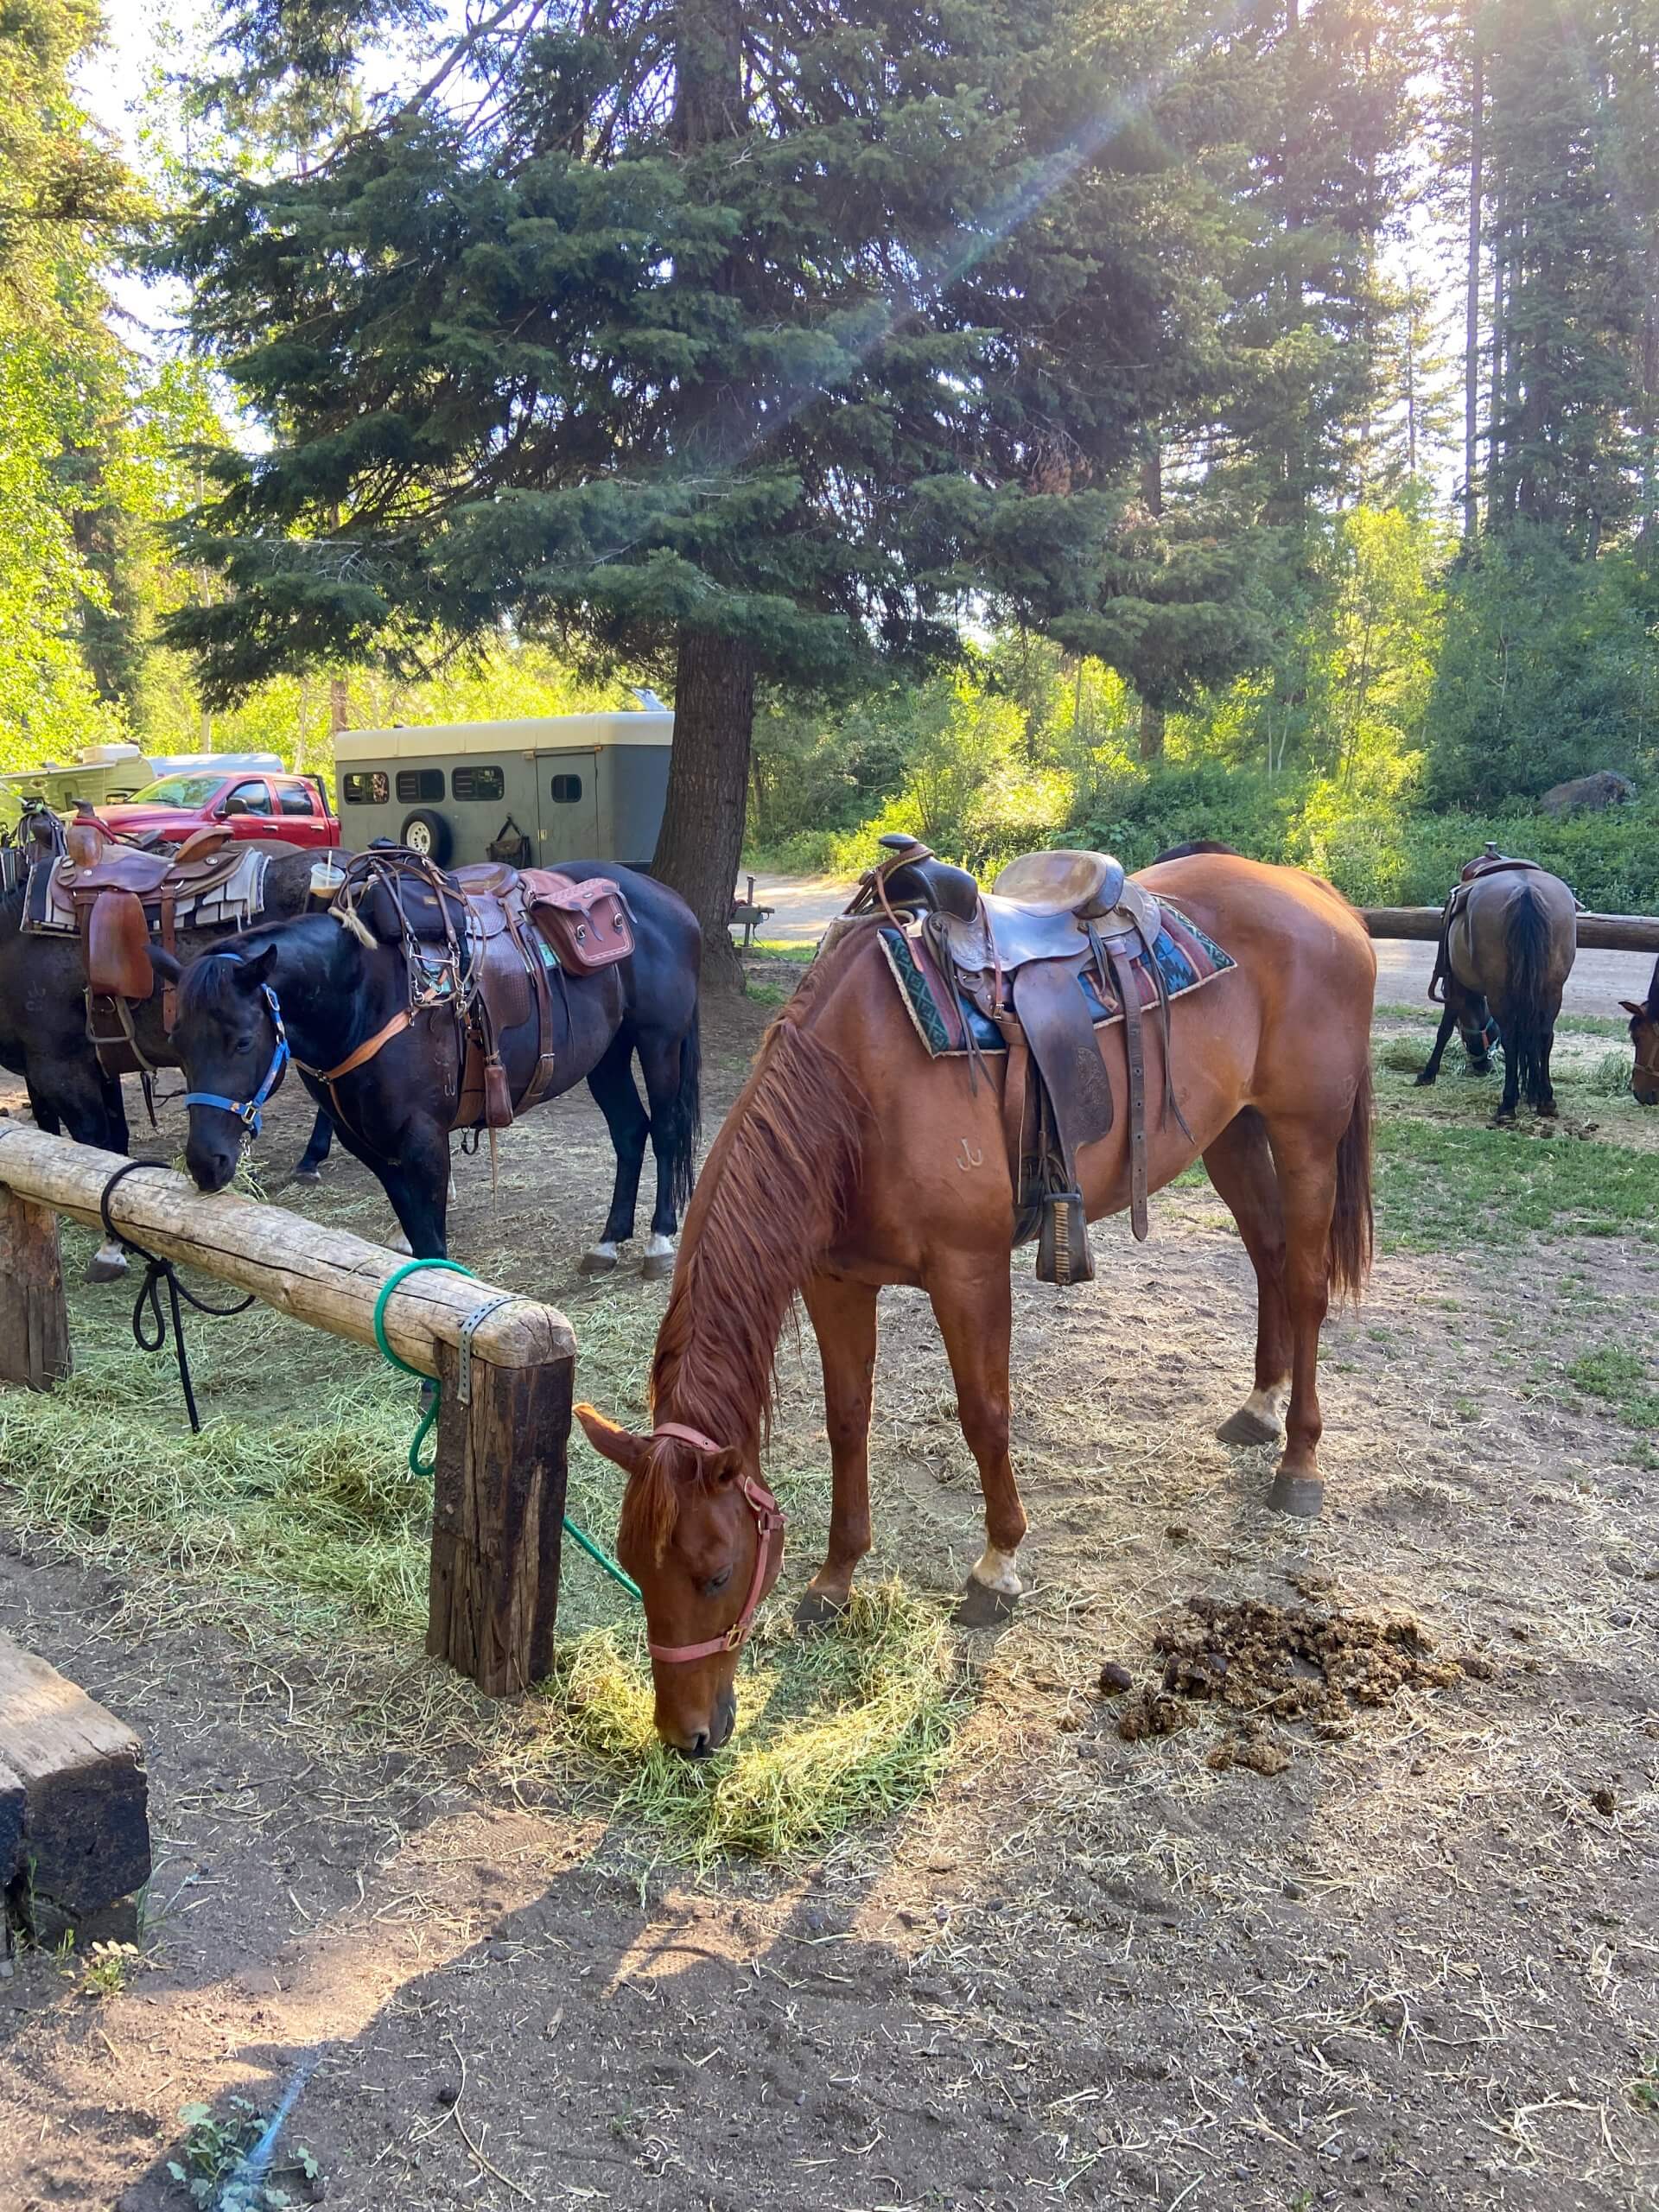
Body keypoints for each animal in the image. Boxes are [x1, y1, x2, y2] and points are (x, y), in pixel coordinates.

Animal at [167, 867, 708, 1282]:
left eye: (242, 1041)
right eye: (177, 1046)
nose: (204, 1162)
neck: (363, 995)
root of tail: (672, 903)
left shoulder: (424, 1140)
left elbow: (433, 1243)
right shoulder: (372, 1147)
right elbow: (416, 1236)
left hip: (658, 1044)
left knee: (665, 1130)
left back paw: (659, 1240)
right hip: (608, 1056)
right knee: (630, 1132)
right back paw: (609, 1241)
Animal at [579, 854, 1380, 1751]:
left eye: (717, 1573)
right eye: (630, 1563)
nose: (688, 1736)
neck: (860, 1085)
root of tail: (1313, 892)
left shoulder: (970, 1274)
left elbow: (984, 1415)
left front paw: (997, 1569)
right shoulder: (835, 1280)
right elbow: (847, 1418)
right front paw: (834, 1579)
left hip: (1305, 1134)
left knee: (1306, 1284)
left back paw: (1299, 1462)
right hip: (1231, 1132)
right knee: (1270, 1258)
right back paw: (1259, 1407)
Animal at [1415, 854, 1583, 1115]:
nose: (1483, 1067)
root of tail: (1526, 890)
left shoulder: (1457, 986)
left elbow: (1444, 1028)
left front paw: (1428, 1074)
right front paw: (1533, 1091)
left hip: (1499, 992)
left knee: (1511, 1039)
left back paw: (1507, 1103)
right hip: (1552, 989)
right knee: (1544, 1035)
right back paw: (1546, 1099)